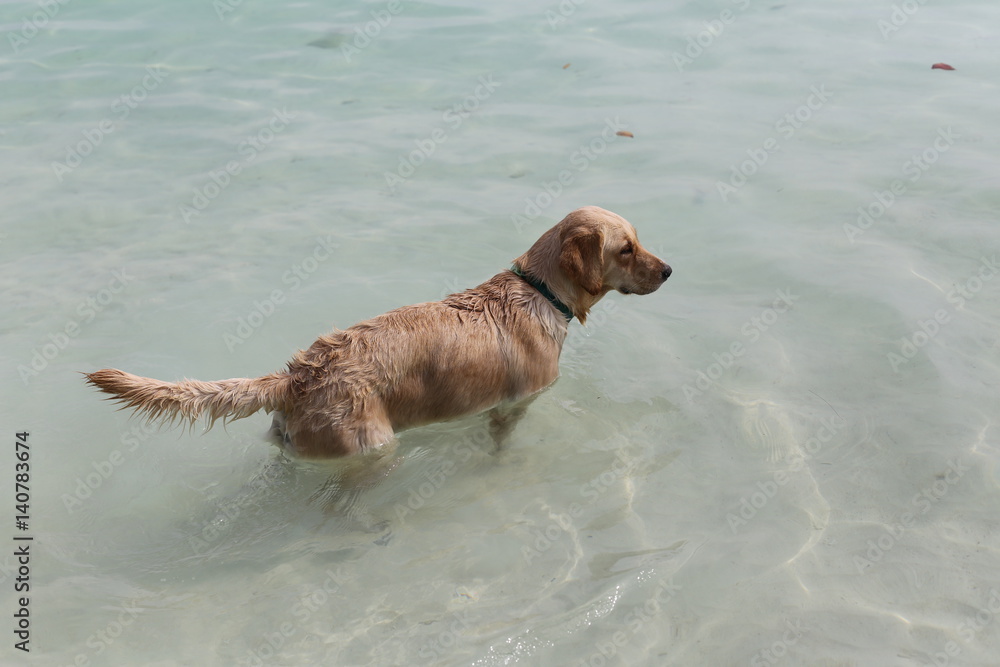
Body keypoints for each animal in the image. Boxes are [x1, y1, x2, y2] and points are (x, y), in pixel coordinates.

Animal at [86, 209, 672, 460]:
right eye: (626, 249)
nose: (669, 271)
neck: (539, 291)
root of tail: (296, 376)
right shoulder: (515, 404)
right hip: (370, 444)